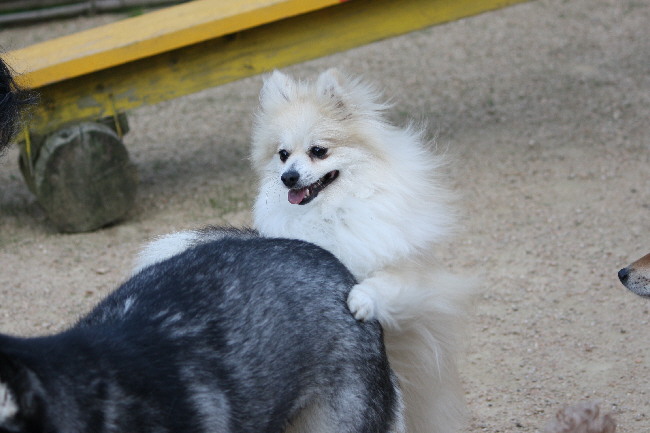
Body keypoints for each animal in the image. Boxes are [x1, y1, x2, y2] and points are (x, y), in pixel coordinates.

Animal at [136, 69, 474, 433]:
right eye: (283, 154)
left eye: (318, 151)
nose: (289, 177)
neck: (329, 211)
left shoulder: (415, 281)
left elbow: (387, 284)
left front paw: (361, 299)